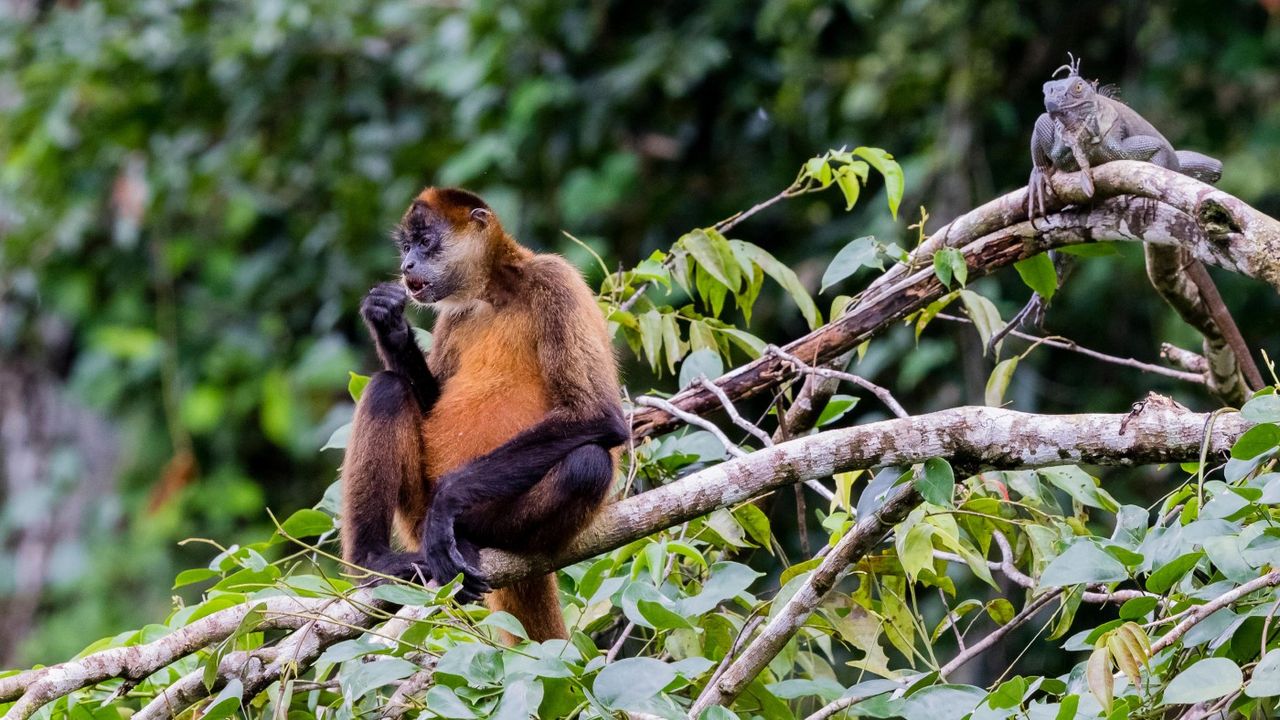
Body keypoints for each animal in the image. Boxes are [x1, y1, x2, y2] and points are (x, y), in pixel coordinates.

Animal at [337, 185, 622, 638]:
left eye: (425, 242)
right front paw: (389, 327)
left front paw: (447, 506)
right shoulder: (454, 314)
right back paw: (373, 561)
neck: (493, 292)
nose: (406, 265)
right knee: (387, 388)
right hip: (413, 514)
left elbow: (599, 415)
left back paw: (464, 535)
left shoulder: (553, 279)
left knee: (588, 464)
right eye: (406, 247)